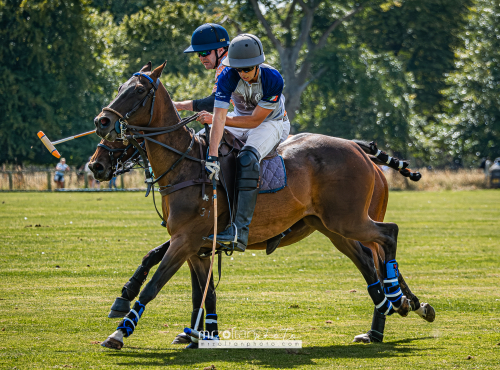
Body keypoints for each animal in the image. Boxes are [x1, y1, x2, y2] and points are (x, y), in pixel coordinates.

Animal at [93, 62, 434, 348]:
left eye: (138, 91)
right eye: (121, 86)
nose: (102, 122)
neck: (186, 165)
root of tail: (356, 147)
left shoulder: (186, 240)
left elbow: (155, 284)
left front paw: (120, 331)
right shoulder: (197, 246)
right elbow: (202, 291)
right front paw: (202, 334)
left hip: (348, 220)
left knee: (388, 235)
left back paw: (395, 301)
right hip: (333, 227)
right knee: (368, 260)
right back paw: (388, 313)